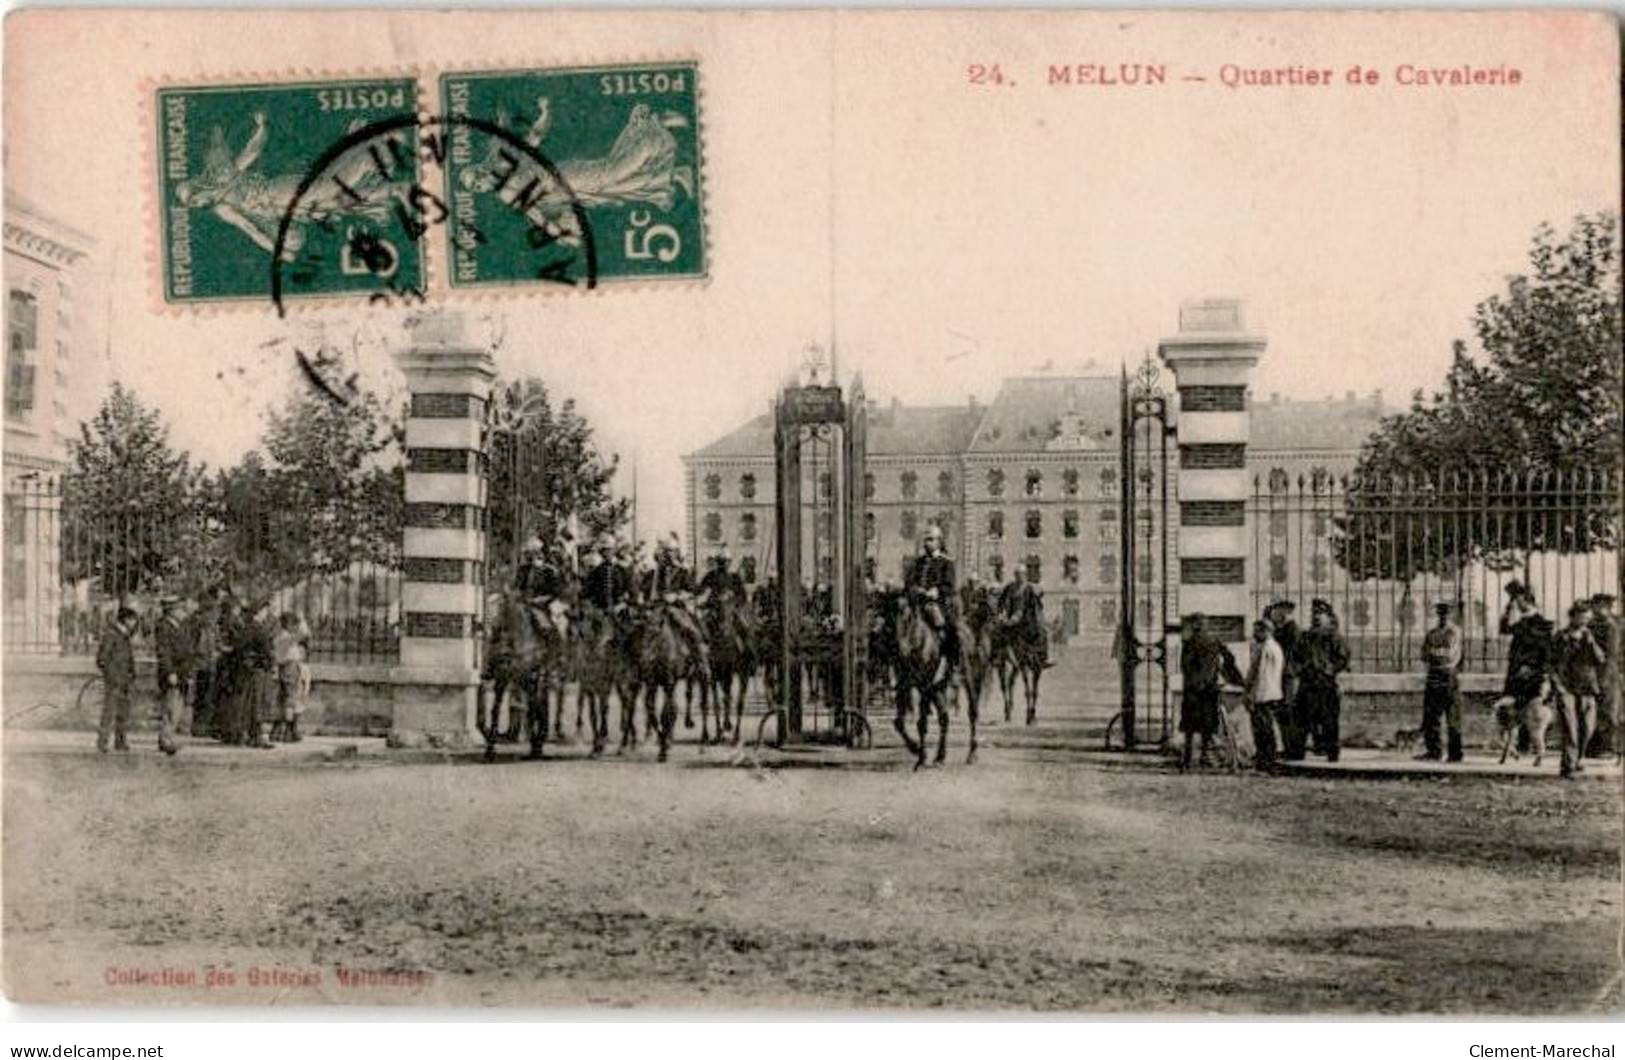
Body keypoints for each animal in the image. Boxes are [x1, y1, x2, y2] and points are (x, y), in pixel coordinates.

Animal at [481, 588, 572, 760]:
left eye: (500, 612)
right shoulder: (504, 678)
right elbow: (495, 709)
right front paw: (490, 749)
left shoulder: (532, 676)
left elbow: (533, 709)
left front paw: (536, 745)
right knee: (538, 702)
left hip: (549, 675)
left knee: (550, 700)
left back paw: (549, 734)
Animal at [871, 588, 955, 770]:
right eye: (887, 615)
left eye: (909, 618)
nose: (898, 648)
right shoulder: (904, 684)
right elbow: (899, 722)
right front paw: (915, 748)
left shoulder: (925, 685)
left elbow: (921, 723)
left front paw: (921, 757)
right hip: (935, 689)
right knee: (944, 717)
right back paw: (939, 756)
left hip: (935, 686)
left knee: (943, 718)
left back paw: (940, 757)